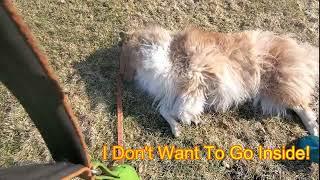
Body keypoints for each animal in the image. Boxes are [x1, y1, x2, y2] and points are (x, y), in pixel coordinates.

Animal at [119, 25, 318, 137]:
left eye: (124, 54)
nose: (123, 77)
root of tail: (299, 49)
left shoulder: (195, 77)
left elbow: (182, 107)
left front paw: (188, 118)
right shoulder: (172, 91)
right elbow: (165, 110)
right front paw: (178, 127)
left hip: (277, 84)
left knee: (303, 106)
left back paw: (313, 129)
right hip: (269, 94)